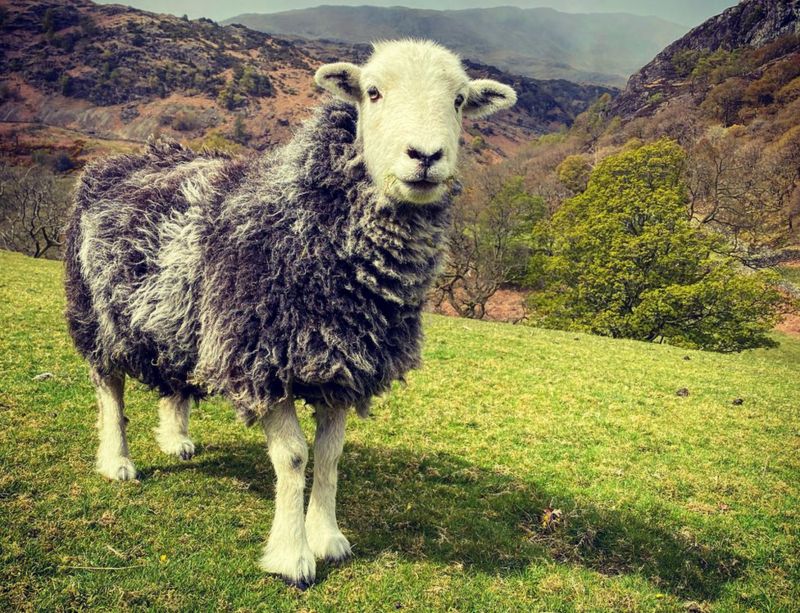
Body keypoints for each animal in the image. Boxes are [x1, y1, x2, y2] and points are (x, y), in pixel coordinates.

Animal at [64, 39, 520, 588]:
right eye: (373, 92)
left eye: (458, 101)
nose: (426, 156)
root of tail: (122, 160)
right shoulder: (264, 359)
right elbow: (294, 456)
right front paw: (293, 555)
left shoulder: (344, 362)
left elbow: (329, 455)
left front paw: (328, 537)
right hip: (97, 312)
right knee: (108, 387)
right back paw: (116, 460)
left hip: (178, 315)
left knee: (175, 377)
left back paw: (176, 439)